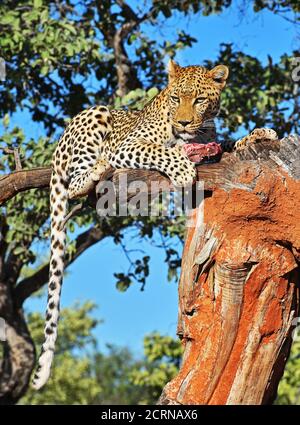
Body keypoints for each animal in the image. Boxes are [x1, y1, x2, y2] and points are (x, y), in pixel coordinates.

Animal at [31, 59, 278, 388]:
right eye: (175, 98)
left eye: (200, 100)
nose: (183, 123)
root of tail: (58, 146)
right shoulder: (127, 145)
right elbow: (159, 150)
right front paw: (183, 169)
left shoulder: (211, 143)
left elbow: (227, 142)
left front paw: (259, 133)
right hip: (96, 115)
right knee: (75, 184)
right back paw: (97, 169)